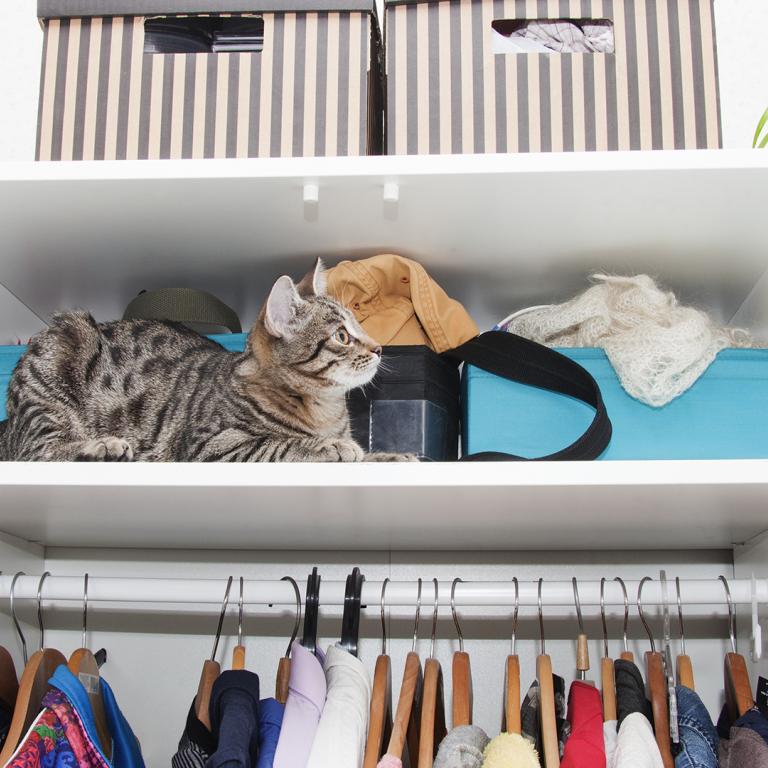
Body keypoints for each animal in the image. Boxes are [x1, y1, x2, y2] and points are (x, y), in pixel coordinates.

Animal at [1, 260, 414, 462]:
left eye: (359, 324)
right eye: (342, 336)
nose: (379, 348)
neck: (325, 410)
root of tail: (10, 422)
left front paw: (388, 456)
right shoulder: (214, 444)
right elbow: (278, 444)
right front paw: (329, 448)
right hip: (60, 354)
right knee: (37, 452)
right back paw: (100, 446)